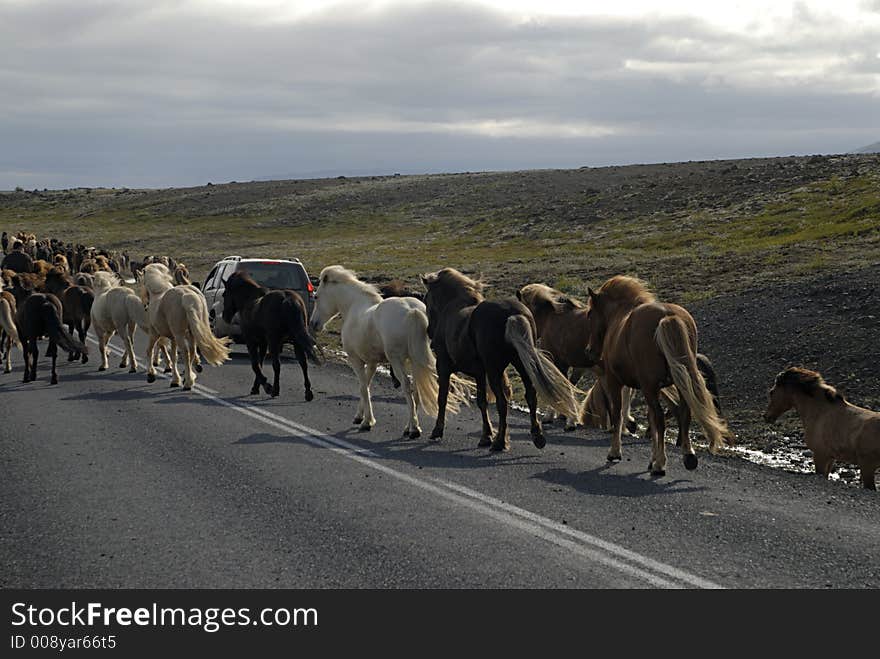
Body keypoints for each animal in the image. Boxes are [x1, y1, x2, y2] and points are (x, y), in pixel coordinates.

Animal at [141, 262, 230, 390]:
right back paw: (189, 378)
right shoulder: (173, 338)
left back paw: (188, 383)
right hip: (192, 333)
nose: (145, 305)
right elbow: (173, 357)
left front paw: (151, 375)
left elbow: (149, 351)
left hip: (179, 335)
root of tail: (186, 295)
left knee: (186, 353)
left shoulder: (154, 334)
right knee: (192, 352)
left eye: (142, 282)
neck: (157, 294)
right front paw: (175, 380)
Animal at [222, 270, 322, 400]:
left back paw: (275, 390)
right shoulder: (263, 342)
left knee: (277, 365)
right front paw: (256, 388)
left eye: (224, 294)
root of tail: (288, 300)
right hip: (296, 341)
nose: (225, 316)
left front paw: (266, 386)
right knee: (303, 363)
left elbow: (255, 365)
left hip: (275, 341)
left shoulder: (251, 341)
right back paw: (308, 392)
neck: (248, 300)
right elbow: (260, 363)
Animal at [308, 262, 464, 438]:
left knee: (407, 387)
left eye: (316, 297)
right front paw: (360, 417)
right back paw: (409, 426)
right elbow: (366, 386)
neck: (354, 306)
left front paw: (367, 422)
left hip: (397, 361)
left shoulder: (355, 360)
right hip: (415, 360)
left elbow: (363, 388)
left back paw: (414, 429)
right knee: (416, 389)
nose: (313, 323)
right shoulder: (372, 363)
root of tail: (413, 311)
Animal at [422, 268, 580, 454]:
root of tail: (512, 314)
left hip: (494, 370)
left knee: (502, 403)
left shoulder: (444, 366)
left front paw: (437, 431)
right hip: (521, 364)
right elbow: (481, 401)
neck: (453, 308)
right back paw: (537, 436)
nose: (429, 333)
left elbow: (443, 397)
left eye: (426, 299)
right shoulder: (479, 373)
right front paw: (486, 436)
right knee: (530, 396)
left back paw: (499, 442)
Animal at [584, 276, 728, 476]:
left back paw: (661, 464)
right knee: (683, 413)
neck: (619, 317)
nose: (589, 351)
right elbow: (651, 420)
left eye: (590, 314)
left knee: (660, 419)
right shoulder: (655, 388)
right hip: (677, 383)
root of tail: (667, 316)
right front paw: (652, 459)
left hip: (649, 387)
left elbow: (618, 414)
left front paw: (615, 452)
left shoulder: (616, 382)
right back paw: (688, 456)